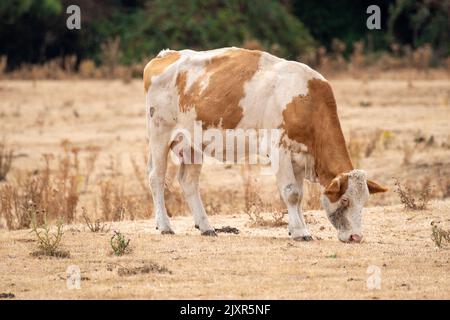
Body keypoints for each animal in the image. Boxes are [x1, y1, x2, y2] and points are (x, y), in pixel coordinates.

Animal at [144, 47, 386, 242]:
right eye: (345, 200)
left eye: (364, 201)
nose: (356, 237)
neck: (306, 101)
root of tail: (166, 55)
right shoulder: (280, 150)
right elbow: (291, 193)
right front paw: (300, 232)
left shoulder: (299, 157)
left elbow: (299, 195)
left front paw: (297, 228)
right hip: (160, 134)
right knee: (157, 178)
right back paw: (165, 226)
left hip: (193, 145)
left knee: (189, 182)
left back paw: (206, 227)